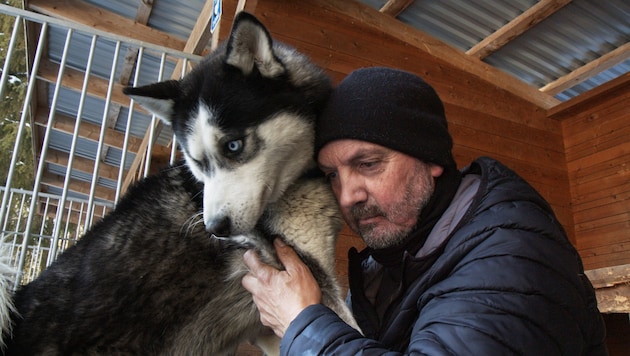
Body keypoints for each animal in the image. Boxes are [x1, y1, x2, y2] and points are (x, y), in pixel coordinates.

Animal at [1, 12, 360, 354]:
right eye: (197, 162)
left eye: (233, 145)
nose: (216, 228)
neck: (298, 182)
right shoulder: (303, 284)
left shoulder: (273, 318)